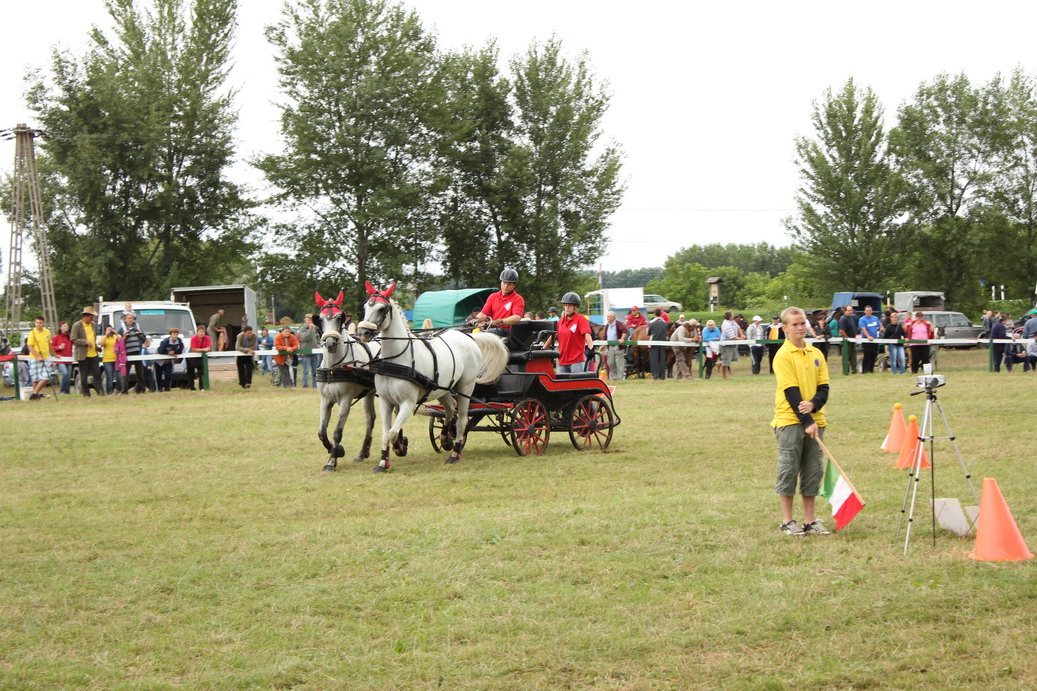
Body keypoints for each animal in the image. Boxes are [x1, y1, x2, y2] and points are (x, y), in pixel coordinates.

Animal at [314, 290, 378, 472]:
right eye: (320, 319)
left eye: (339, 318)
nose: (330, 343)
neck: (333, 367)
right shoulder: (325, 400)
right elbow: (322, 432)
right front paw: (337, 451)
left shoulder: (345, 400)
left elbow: (337, 432)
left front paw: (332, 461)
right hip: (369, 393)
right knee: (370, 419)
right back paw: (363, 453)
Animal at [357, 282, 509, 471]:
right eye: (365, 307)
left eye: (381, 308)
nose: (362, 332)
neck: (397, 360)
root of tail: (469, 336)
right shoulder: (385, 401)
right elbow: (386, 434)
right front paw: (383, 462)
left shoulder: (407, 403)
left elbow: (392, 432)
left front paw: (399, 447)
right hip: (443, 388)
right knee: (450, 409)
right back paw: (446, 439)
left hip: (466, 386)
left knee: (462, 420)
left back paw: (455, 453)